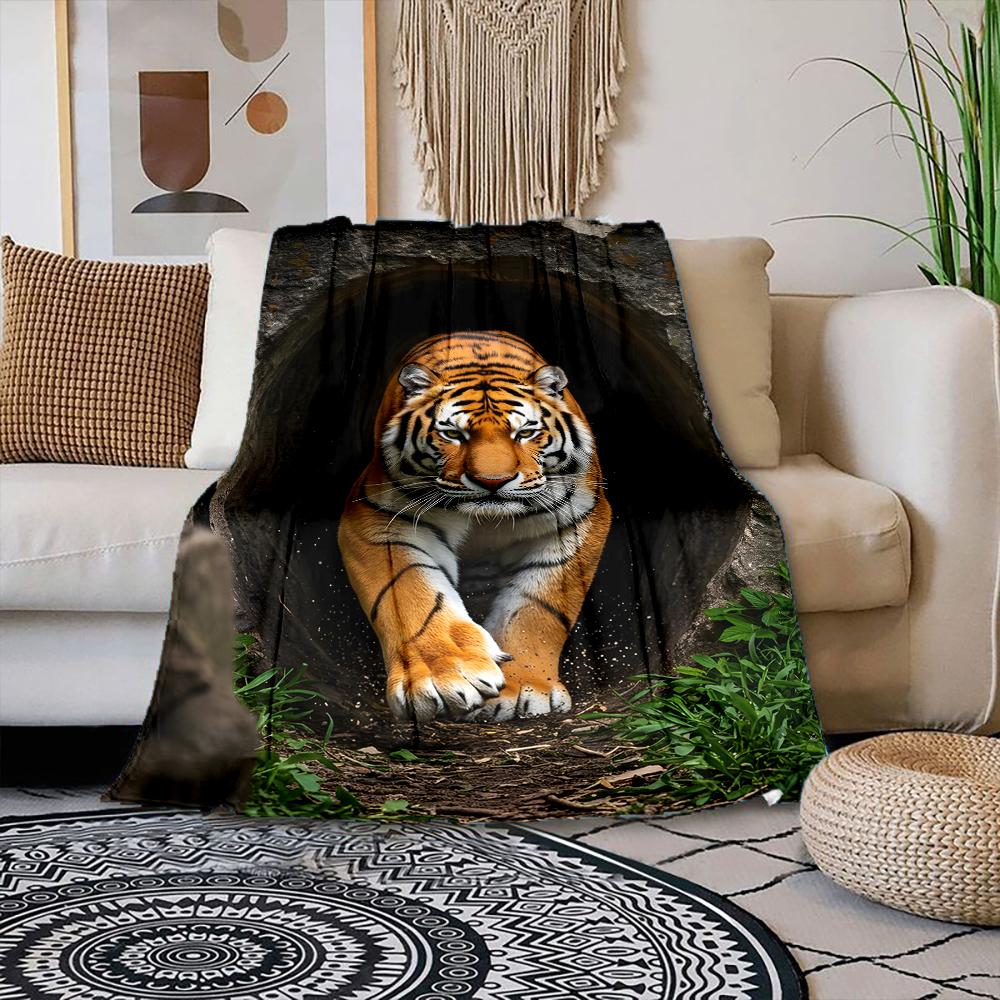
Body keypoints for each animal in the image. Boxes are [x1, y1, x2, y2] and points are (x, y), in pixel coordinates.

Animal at [337, 330, 611, 723]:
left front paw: (522, 688)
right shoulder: (378, 517)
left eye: (525, 432)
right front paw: (443, 677)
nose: (492, 482)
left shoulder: (577, 518)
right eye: (454, 434)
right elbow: (410, 594)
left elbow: (536, 609)